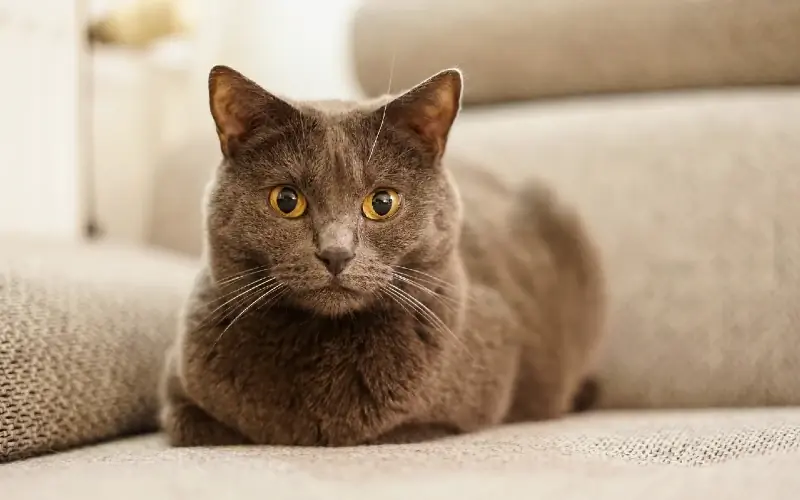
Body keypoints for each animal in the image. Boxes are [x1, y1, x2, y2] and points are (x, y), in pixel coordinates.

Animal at [159, 65, 604, 446]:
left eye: (382, 203)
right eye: (286, 200)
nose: (336, 253)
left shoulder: (453, 414)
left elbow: (399, 429)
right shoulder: (177, 394)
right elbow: (198, 427)